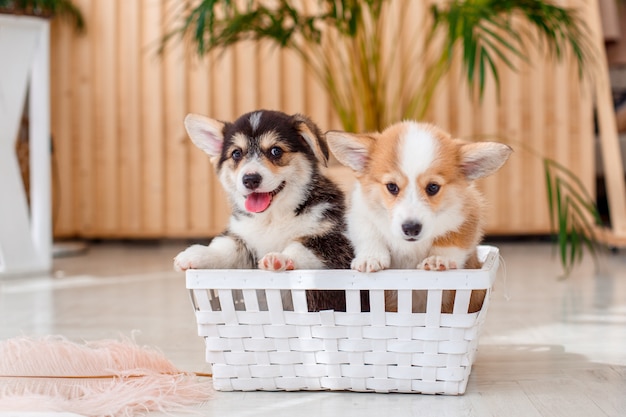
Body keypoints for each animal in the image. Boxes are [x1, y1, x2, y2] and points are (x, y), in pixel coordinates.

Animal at [173, 109, 354, 310]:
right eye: (236, 153)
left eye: (276, 151)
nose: (250, 179)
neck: (272, 218)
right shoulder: (244, 239)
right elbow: (227, 247)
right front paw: (197, 254)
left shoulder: (336, 241)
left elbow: (302, 247)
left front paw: (280, 258)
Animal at [324, 120, 510, 308]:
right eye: (392, 187)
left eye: (433, 187)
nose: (411, 228)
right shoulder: (360, 213)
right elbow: (369, 235)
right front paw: (371, 258)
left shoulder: (469, 212)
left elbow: (452, 240)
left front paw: (437, 259)